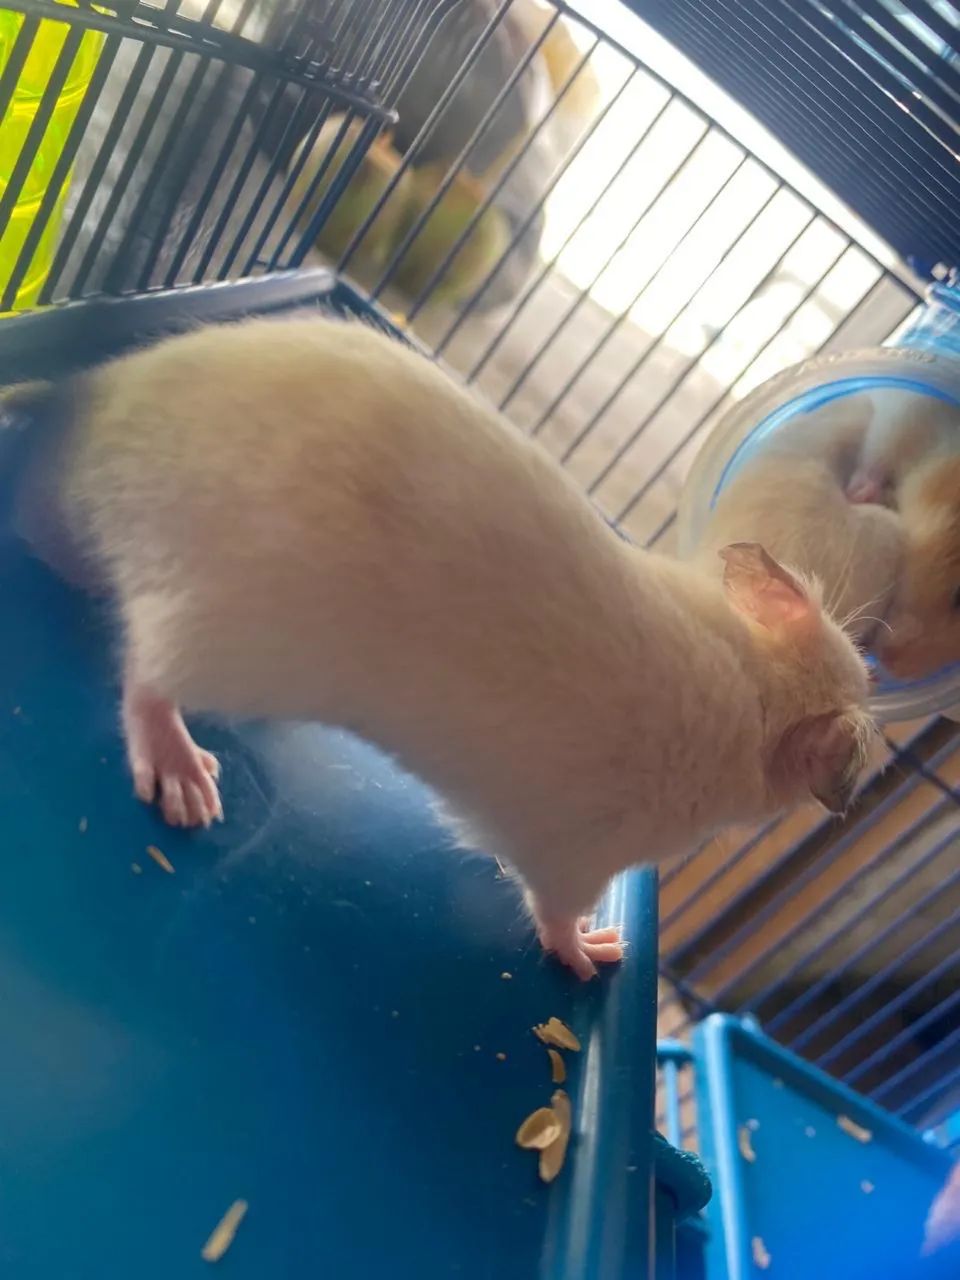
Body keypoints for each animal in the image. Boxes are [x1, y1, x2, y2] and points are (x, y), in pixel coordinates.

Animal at [2, 315, 873, 979]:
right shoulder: (577, 856)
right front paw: (597, 952)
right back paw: (181, 771)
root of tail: (93, 430)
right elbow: (556, 914)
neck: (759, 685)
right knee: (144, 675)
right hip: (225, 640)